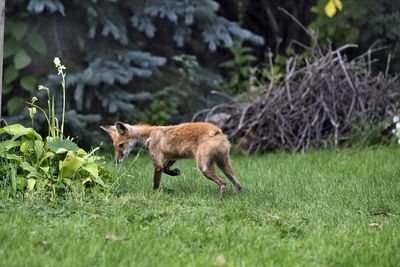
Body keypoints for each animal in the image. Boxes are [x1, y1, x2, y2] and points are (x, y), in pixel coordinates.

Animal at [101, 122, 242, 199]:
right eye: (115, 146)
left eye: (121, 145)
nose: (116, 161)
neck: (149, 136)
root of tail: (217, 130)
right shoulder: (172, 157)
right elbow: (166, 169)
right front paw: (175, 172)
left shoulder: (157, 160)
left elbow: (156, 182)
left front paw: (152, 196)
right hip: (223, 164)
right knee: (238, 185)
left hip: (204, 167)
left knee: (223, 183)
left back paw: (221, 201)